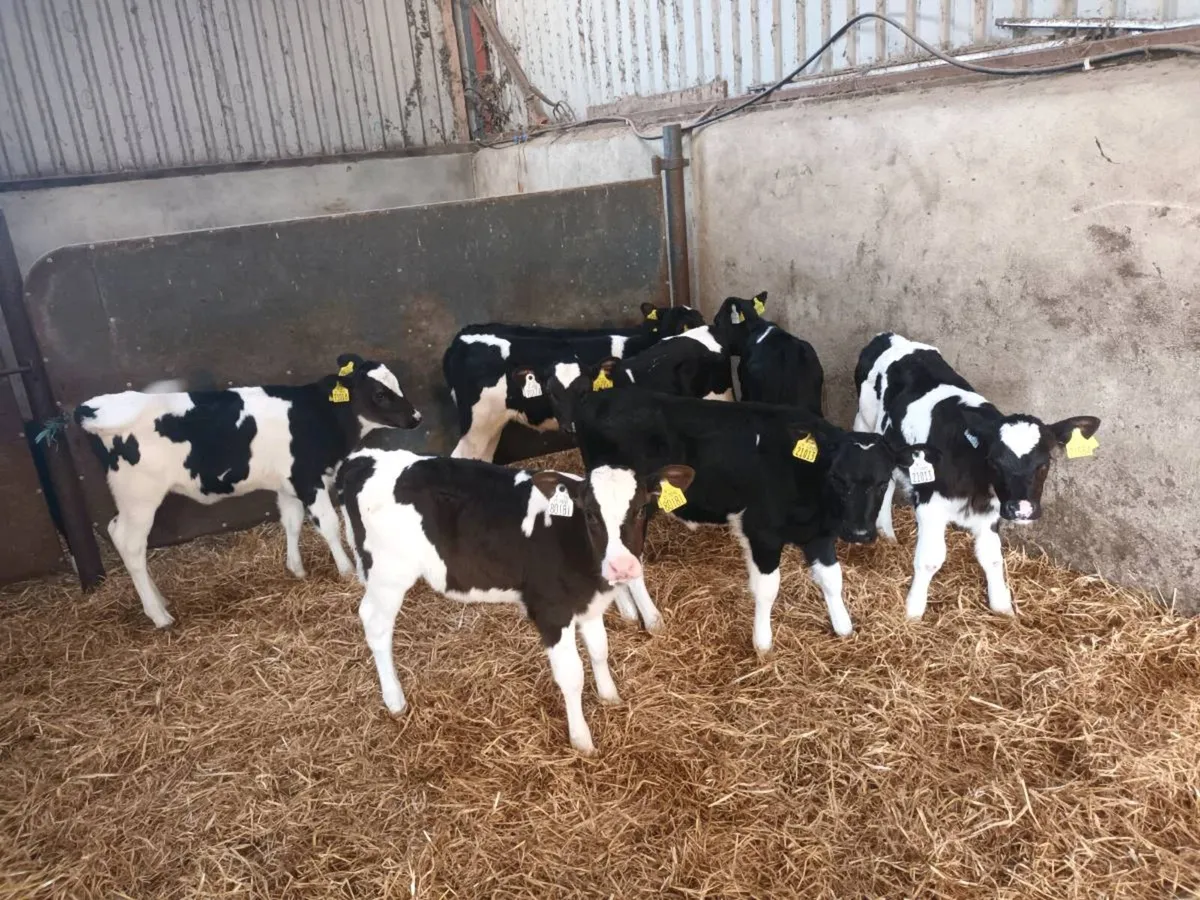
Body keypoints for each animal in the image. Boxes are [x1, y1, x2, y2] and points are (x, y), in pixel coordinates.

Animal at [74, 354, 420, 628]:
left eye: (398, 385)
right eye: (380, 393)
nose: (416, 417)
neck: (319, 413)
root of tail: (96, 406)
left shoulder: (287, 482)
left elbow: (291, 522)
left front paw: (296, 569)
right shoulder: (308, 477)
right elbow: (329, 524)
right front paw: (346, 570)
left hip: (131, 498)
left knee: (116, 531)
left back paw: (159, 600)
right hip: (140, 494)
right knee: (130, 544)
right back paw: (159, 616)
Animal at [335, 430, 694, 754]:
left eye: (641, 509)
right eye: (591, 514)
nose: (622, 567)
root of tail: (361, 458)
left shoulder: (588, 605)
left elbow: (600, 651)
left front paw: (610, 697)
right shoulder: (551, 612)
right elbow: (572, 675)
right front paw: (582, 740)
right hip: (388, 575)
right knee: (374, 624)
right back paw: (395, 700)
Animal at [547, 379, 937, 651]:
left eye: (883, 480)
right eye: (838, 478)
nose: (858, 533)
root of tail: (598, 398)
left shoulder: (819, 533)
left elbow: (832, 579)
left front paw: (843, 626)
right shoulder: (763, 531)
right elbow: (767, 588)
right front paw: (762, 642)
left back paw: (628, 612)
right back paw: (651, 618)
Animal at [854, 332, 1101, 620]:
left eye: (1044, 463)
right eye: (994, 461)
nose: (1022, 509)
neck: (976, 485)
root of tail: (889, 336)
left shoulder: (992, 510)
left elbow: (992, 557)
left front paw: (1003, 607)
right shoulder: (930, 504)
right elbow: (929, 560)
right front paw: (913, 610)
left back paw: (887, 532)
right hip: (865, 421)